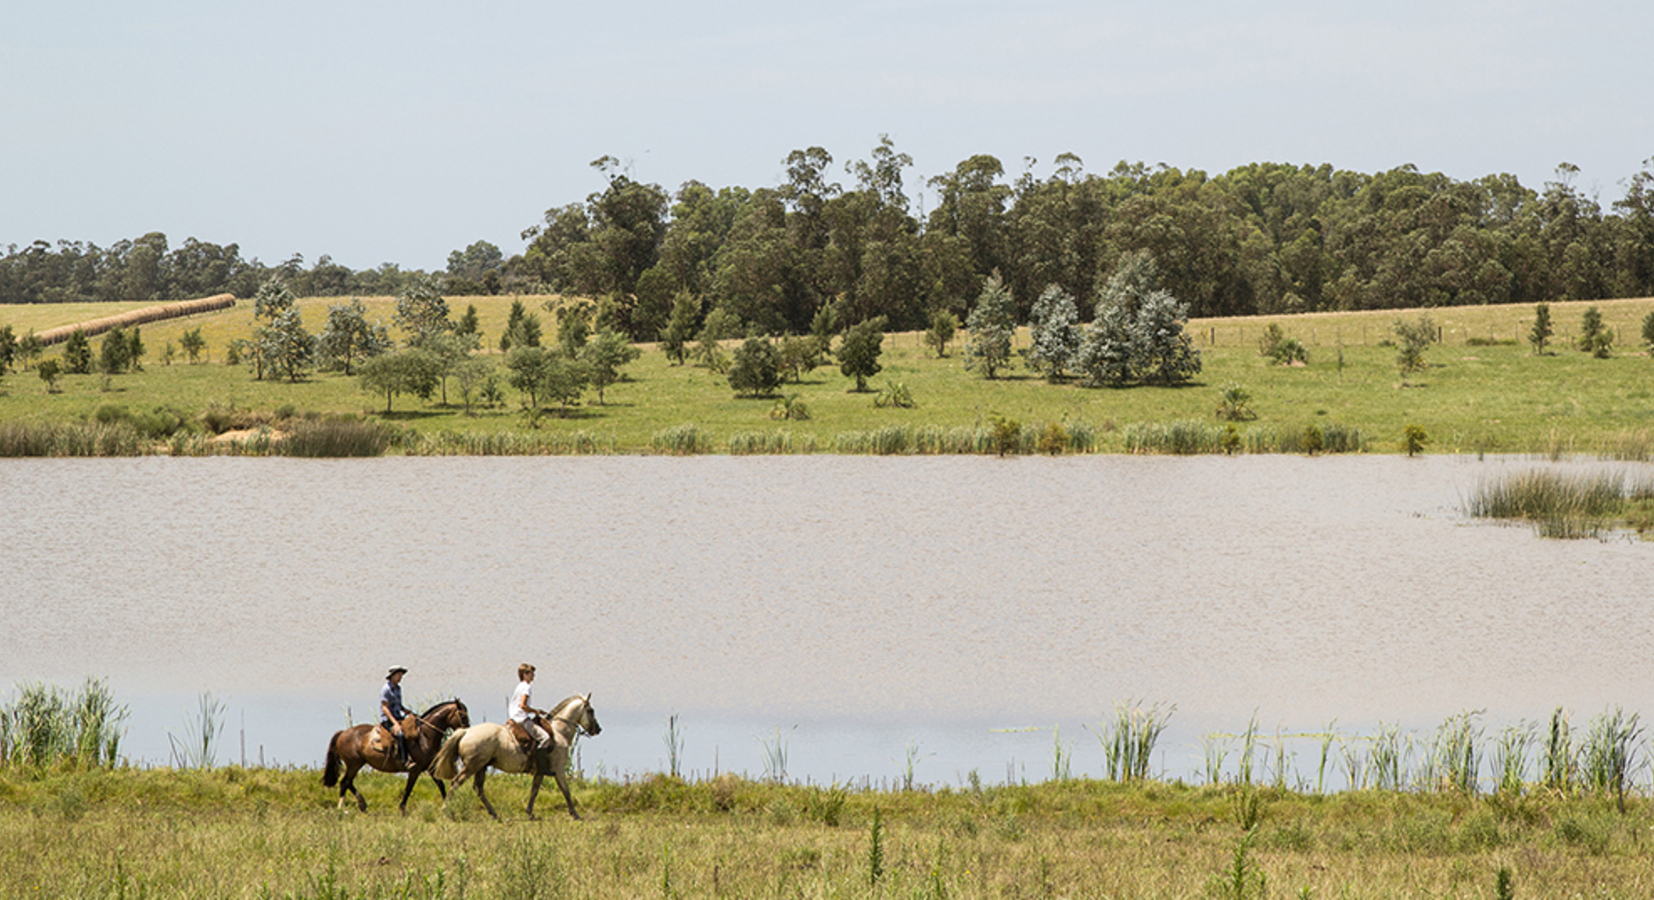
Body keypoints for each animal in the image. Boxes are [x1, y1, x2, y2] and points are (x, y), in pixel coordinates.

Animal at [319, 698, 469, 810]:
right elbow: (409, 789)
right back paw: (342, 808)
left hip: (356, 764)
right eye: (462, 716)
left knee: (348, 782)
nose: (467, 731)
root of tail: (343, 733)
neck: (424, 736)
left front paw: (447, 806)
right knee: (345, 782)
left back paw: (362, 804)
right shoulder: (415, 770)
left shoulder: (429, 767)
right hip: (353, 764)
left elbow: (441, 785)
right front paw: (402, 809)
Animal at [433, 691, 602, 820]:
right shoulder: (559, 769)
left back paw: (494, 814)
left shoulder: (541, 772)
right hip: (471, 766)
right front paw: (575, 815)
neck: (558, 732)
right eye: (591, 711)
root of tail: (466, 731)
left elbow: (534, 790)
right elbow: (566, 791)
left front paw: (530, 813)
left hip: (481, 766)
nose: (598, 729)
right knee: (456, 783)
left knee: (478, 788)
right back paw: (445, 811)